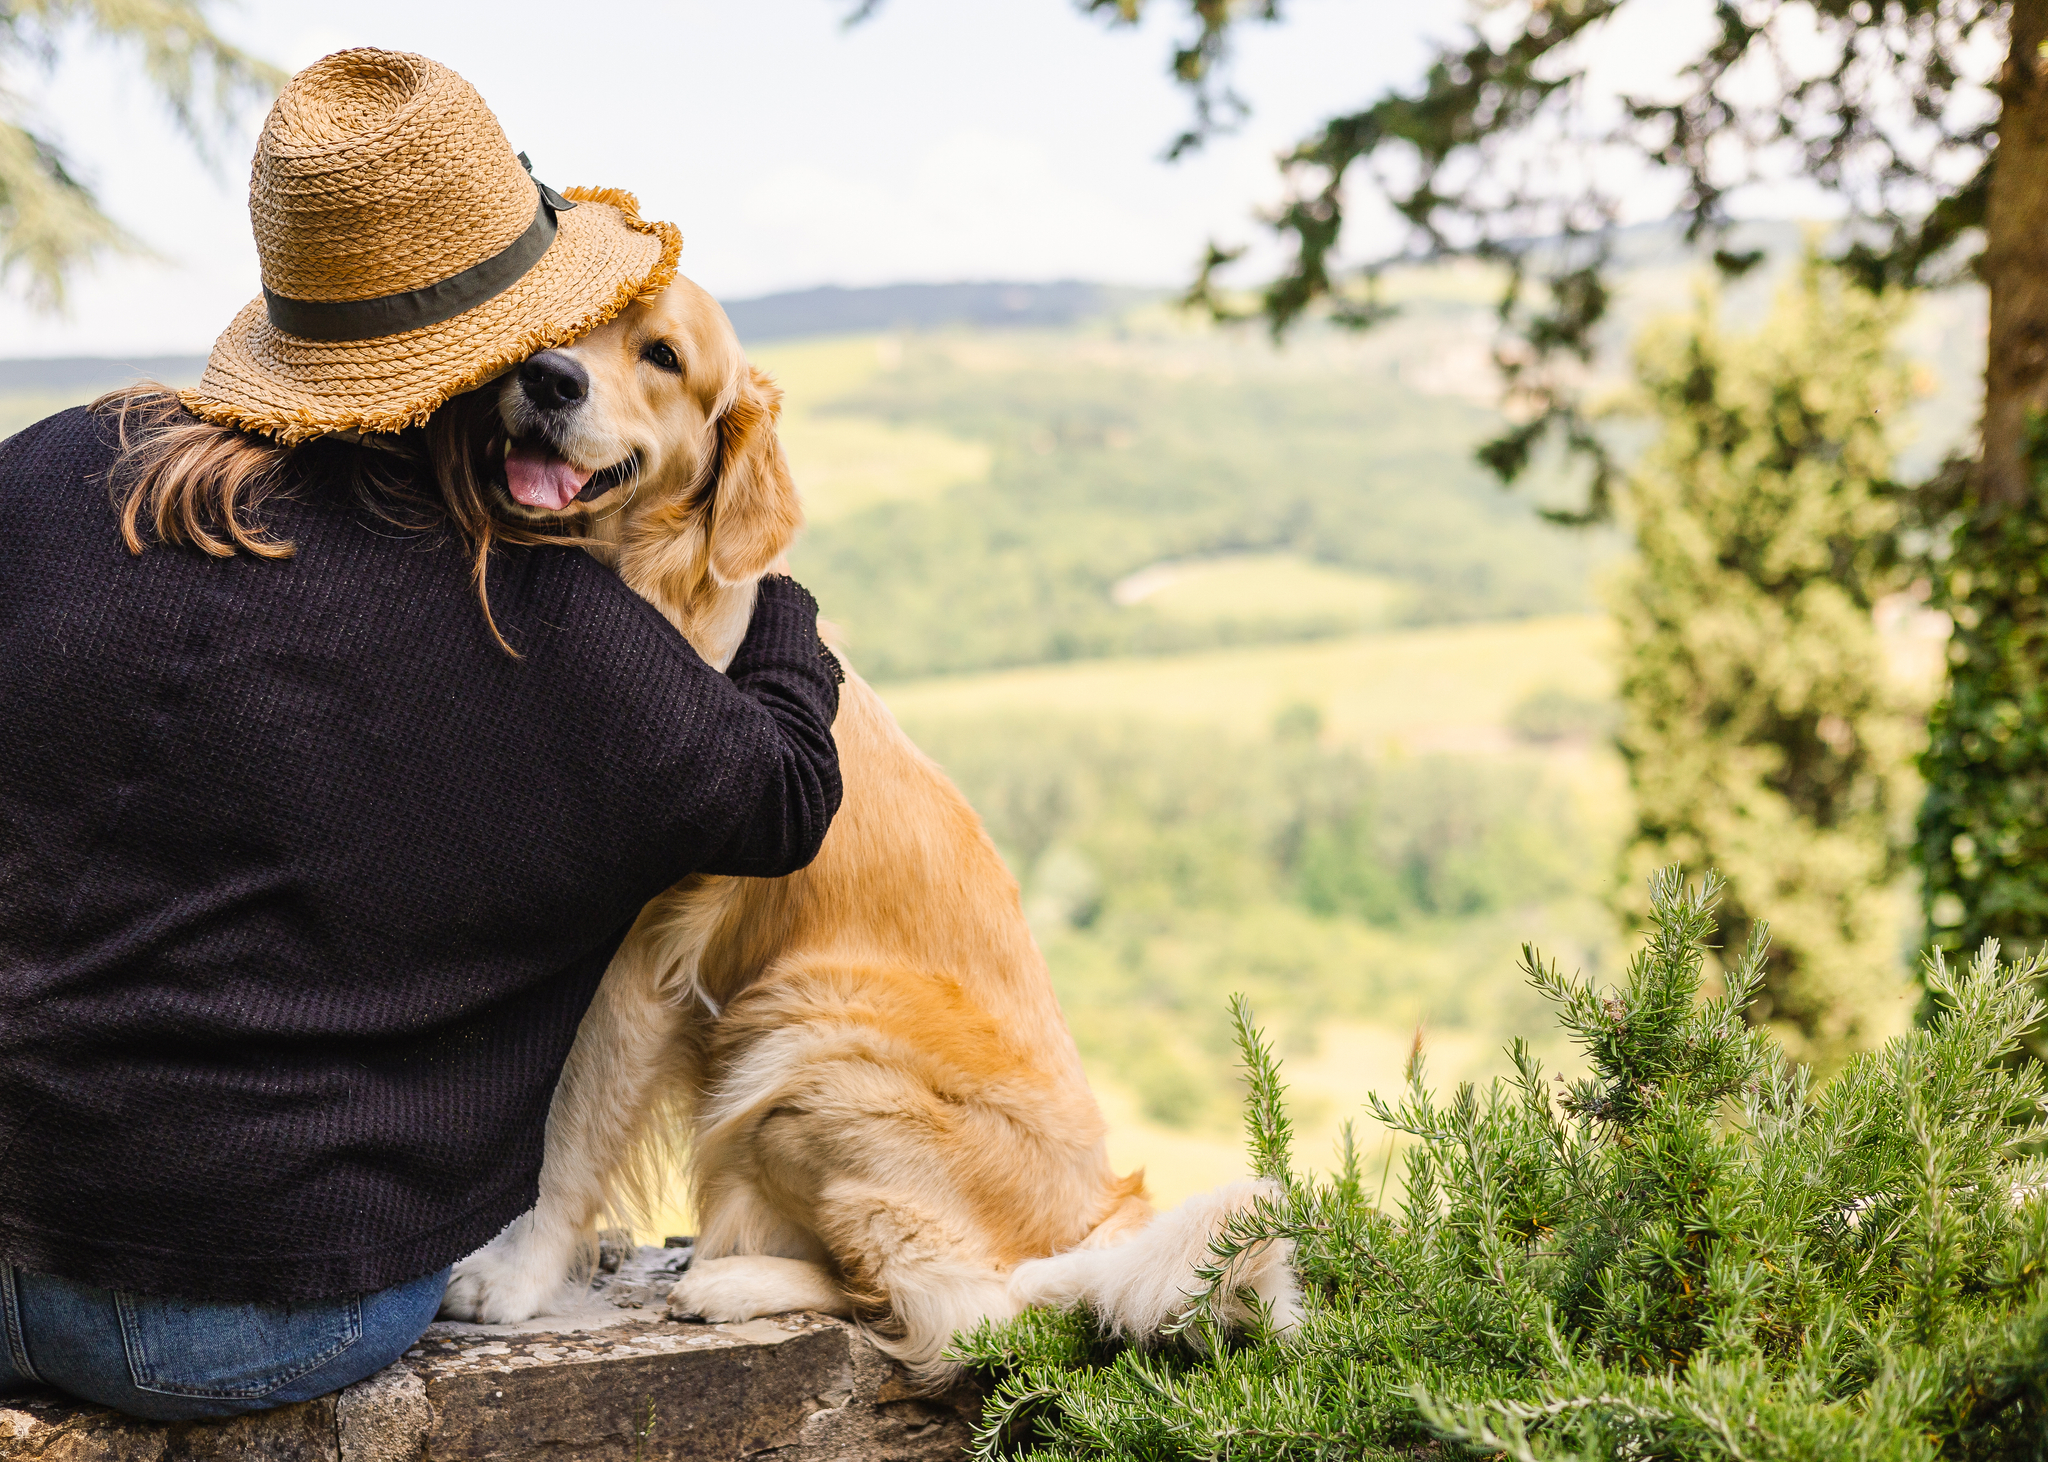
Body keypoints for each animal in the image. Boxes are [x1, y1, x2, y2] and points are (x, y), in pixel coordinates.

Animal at [432, 222, 1294, 1376]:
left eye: (661, 356)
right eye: (568, 332)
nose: (550, 380)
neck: (645, 586)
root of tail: (1099, 1217)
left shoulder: (646, 947)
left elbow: (569, 1122)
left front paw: (520, 1274)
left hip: (807, 1040)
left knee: (966, 1305)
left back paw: (731, 1280)